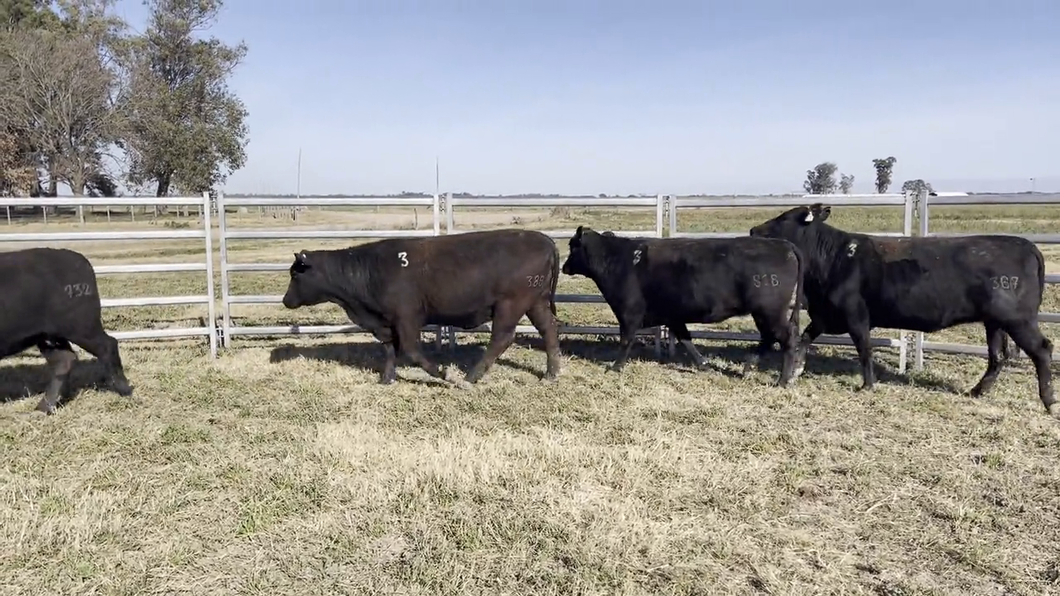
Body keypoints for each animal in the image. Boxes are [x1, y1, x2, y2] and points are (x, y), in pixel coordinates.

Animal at [0, 246, 134, 413]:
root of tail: (78, 258)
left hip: (81, 326)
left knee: (108, 345)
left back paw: (125, 390)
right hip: (50, 335)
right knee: (64, 360)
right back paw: (44, 408)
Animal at [279, 226, 563, 386]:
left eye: (295, 274)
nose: (285, 300)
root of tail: (544, 240)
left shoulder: (406, 318)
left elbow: (411, 351)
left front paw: (444, 374)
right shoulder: (386, 322)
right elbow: (389, 350)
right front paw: (387, 378)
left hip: (510, 304)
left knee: (501, 338)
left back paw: (470, 378)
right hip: (536, 303)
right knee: (549, 329)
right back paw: (550, 375)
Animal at [559, 223, 797, 386]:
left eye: (572, 246)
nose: (564, 267)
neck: (618, 260)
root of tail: (782, 244)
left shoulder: (629, 312)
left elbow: (626, 340)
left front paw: (615, 368)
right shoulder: (672, 316)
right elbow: (686, 338)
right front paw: (704, 365)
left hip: (770, 312)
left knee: (785, 339)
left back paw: (783, 380)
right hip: (764, 313)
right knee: (768, 338)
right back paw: (749, 367)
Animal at [750, 201, 1055, 415]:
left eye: (784, 217)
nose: (753, 231)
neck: (835, 258)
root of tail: (1026, 245)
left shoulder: (856, 316)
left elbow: (864, 349)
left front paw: (867, 385)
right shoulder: (827, 315)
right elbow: (804, 338)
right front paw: (795, 372)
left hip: (1019, 320)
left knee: (1042, 349)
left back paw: (1049, 401)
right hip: (995, 323)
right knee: (998, 356)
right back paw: (977, 391)